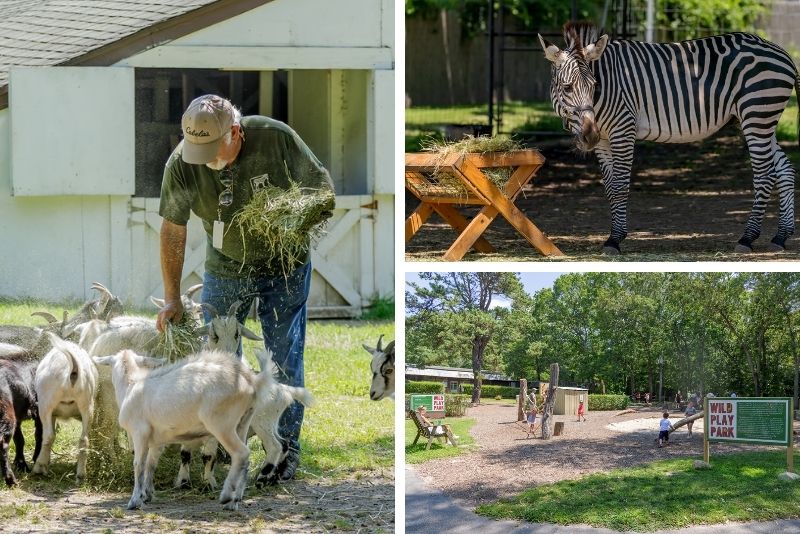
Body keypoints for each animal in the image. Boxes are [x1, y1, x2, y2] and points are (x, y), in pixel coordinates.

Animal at [32, 336, 97, 482]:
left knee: (48, 436)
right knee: (84, 439)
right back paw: (81, 474)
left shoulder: (51, 413)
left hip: (46, 404)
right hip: (87, 405)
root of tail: (72, 370)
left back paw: (39, 467)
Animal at [94, 350, 272, 512]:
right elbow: (151, 464)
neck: (131, 385)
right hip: (243, 422)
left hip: (222, 424)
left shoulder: (140, 433)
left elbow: (139, 465)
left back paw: (227, 495)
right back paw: (234, 501)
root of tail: (251, 381)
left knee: (241, 453)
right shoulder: (156, 441)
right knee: (245, 459)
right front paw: (147, 495)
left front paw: (134, 501)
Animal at [540, 22, 796, 254]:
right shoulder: (603, 141)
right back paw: (781, 237)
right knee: (785, 169)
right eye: (567, 87)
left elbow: (621, 186)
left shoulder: (623, 129)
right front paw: (615, 235)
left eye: (593, 85)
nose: (588, 135)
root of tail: (782, 52)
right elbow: (611, 189)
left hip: (757, 114)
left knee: (764, 174)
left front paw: (614, 240)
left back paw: (747, 238)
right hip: (760, 120)